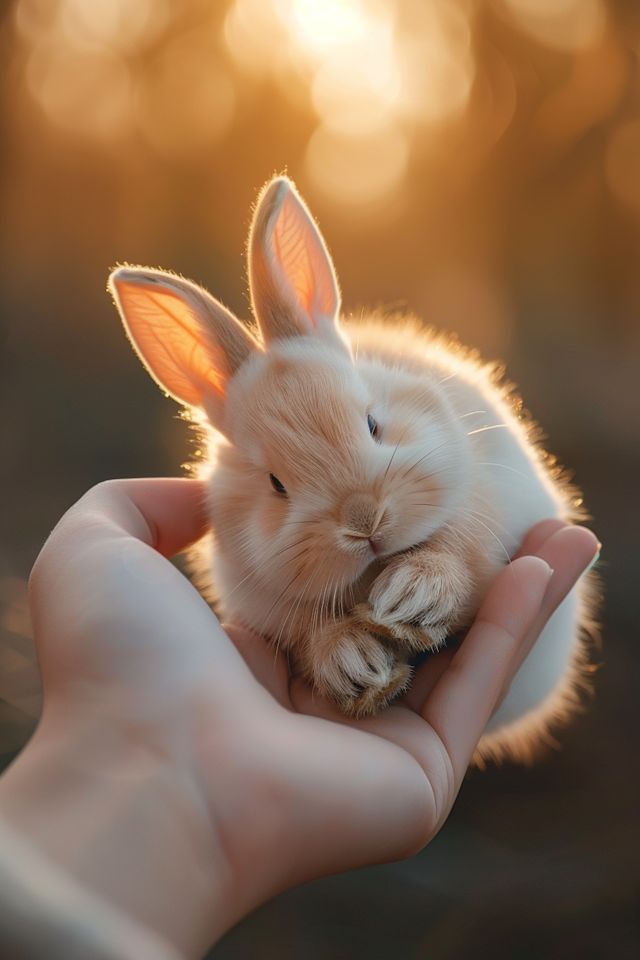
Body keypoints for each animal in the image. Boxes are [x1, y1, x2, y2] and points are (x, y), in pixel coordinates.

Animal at [107, 174, 596, 764]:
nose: (365, 522)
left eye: (372, 423)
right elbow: (310, 635)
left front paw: (410, 598)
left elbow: (460, 556)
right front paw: (356, 667)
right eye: (276, 484)